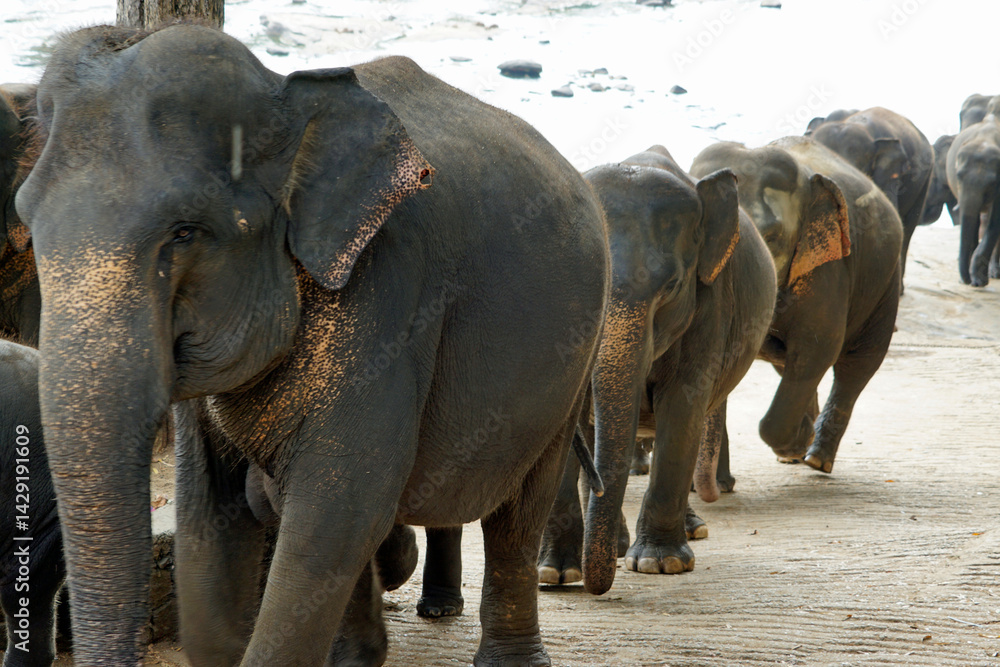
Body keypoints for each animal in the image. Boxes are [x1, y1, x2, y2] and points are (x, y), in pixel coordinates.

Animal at [16, 23, 610, 667]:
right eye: (27, 219)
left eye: (186, 232)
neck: (285, 90)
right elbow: (210, 516)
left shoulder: (389, 293)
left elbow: (339, 508)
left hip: (570, 366)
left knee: (518, 513)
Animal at [536, 145, 776, 586]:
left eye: (671, 287)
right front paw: (556, 573)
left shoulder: (710, 305)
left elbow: (682, 407)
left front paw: (659, 563)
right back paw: (612, 547)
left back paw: (685, 534)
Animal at [691, 136, 902, 474]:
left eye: (771, 236)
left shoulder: (827, 268)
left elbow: (818, 346)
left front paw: (798, 438)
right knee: (786, 364)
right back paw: (797, 452)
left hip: (884, 281)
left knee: (857, 363)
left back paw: (816, 458)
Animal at [946, 116, 1000, 286]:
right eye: (958, 176)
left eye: (992, 183)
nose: (967, 281)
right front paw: (974, 279)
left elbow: (995, 221)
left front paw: (979, 281)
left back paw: (994, 273)